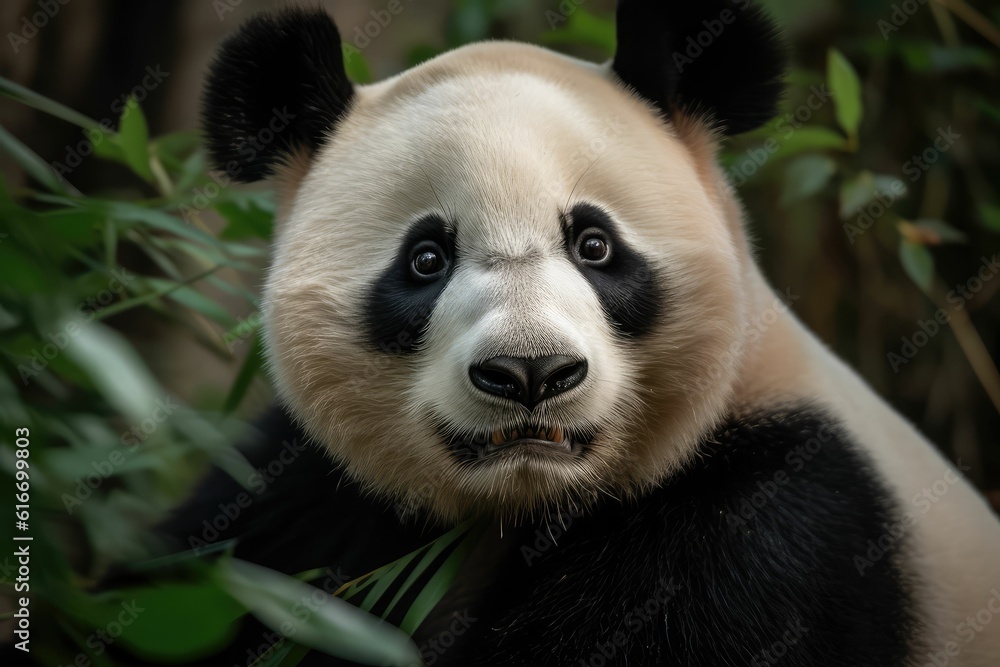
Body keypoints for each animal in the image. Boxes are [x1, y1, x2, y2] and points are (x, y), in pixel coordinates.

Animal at [161, 1, 1000, 665]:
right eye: (426, 258)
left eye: (594, 244)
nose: (530, 372)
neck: (525, 505)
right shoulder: (306, 502)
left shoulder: (772, 523)